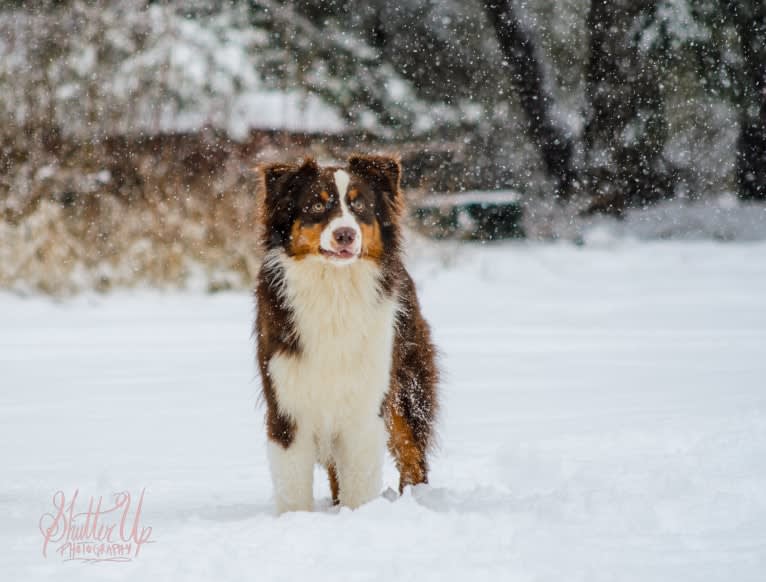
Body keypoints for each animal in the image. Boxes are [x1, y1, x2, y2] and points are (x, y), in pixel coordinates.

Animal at [256, 155, 440, 516]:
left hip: (406, 387)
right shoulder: (286, 404)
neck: (334, 289)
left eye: (360, 205)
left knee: (413, 456)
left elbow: (359, 478)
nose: (345, 234)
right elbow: (293, 486)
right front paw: (297, 520)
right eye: (316, 205)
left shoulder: (366, 404)